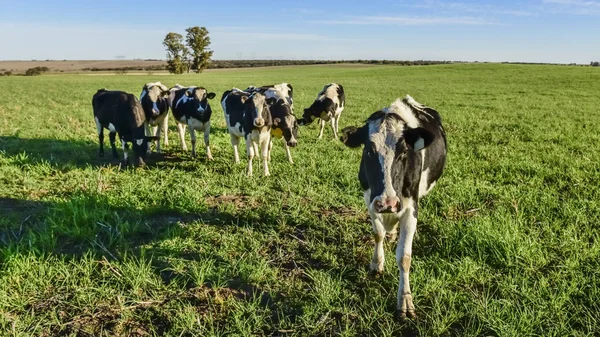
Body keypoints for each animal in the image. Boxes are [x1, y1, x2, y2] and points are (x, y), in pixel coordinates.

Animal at [340, 94, 448, 318]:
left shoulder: (410, 207)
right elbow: (378, 234)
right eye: (368, 151)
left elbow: (404, 257)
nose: (388, 202)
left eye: (404, 152)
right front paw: (376, 264)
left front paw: (405, 300)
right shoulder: (370, 200)